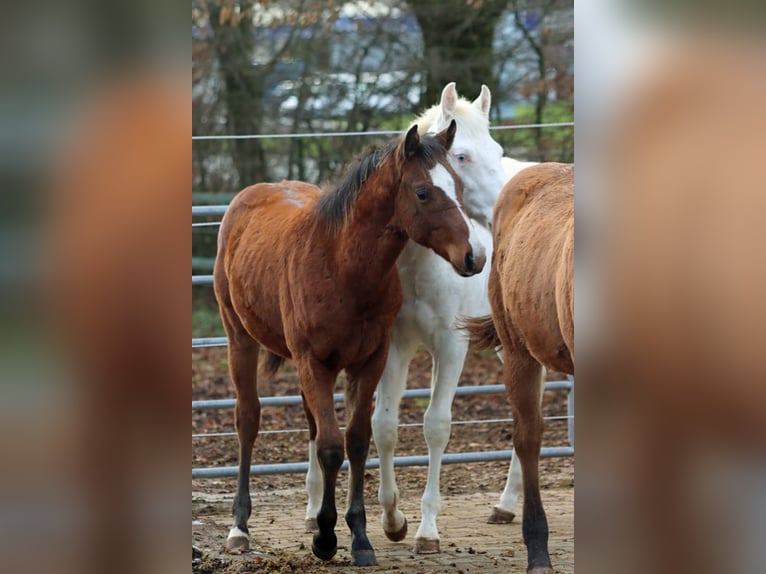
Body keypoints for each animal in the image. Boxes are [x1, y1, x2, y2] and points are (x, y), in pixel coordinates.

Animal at [213, 120, 486, 567]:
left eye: (459, 185)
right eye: (422, 192)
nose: (474, 256)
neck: (341, 266)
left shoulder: (369, 361)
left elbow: (356, 441)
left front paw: (358, 536)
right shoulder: (316, 363)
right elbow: (330, 446)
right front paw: (326, 539)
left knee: (309, 420)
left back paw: (310, 513)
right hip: (239, 339)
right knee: (248, 420)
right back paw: (240, 528)